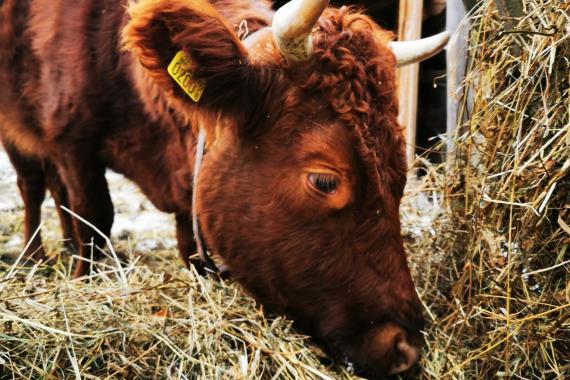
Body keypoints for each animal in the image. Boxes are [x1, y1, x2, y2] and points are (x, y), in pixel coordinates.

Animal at [0, 0, 444, 376]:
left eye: (400, 168)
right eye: (324, 180)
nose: (404, 348)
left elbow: (187, 246)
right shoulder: (71, 143)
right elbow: (94, 221)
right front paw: (84, 283)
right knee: (33, 186)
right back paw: (33, 258)